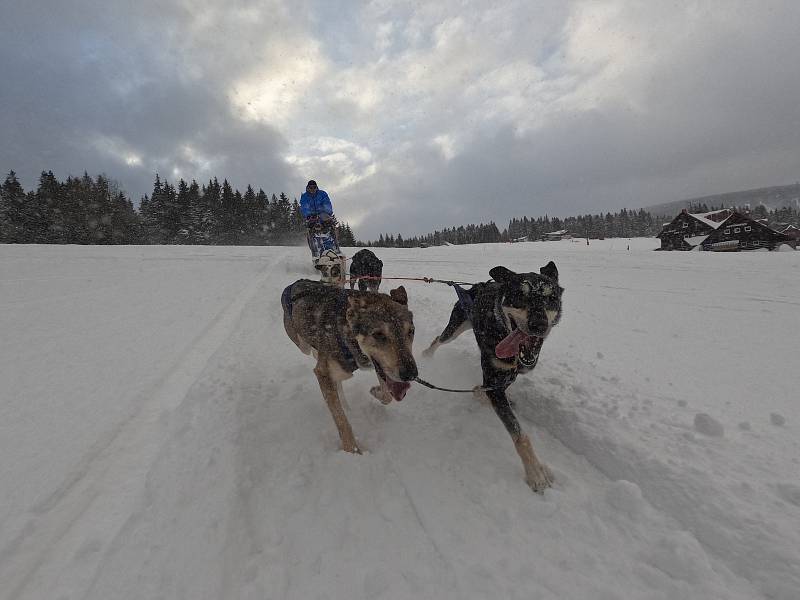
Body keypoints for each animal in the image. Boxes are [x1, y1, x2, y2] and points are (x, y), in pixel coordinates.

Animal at [282, 278, 418, 452]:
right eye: (378, 334)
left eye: (411, 331)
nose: (411, 374)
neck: (346, 331)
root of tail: (297, 282)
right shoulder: (323, 372)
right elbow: (341, 420)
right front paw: (352, 451)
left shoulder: (378, 366)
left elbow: (388, 395)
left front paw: (376, 392)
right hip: (301, 343)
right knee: (309, 350)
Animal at [424, 262, 564, 492]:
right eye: (520, 295)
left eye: (550, 297)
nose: (539, 325)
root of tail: (478, 286)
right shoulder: (494, 383)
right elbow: (520, 435)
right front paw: (535, 472)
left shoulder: (502, 379)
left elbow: (486, 389)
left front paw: (480, 394)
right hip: (454, 329)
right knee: (438, 339)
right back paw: (425, 356)